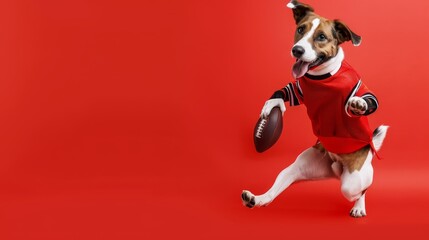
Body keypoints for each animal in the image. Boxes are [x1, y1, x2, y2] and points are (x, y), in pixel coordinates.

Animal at [241, 0, 388, 218]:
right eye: (301, 29)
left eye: (321, 37)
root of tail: (336, 168)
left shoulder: (357, 86)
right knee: (277, 185)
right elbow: (286, 92)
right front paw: (273, 102)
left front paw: (358, 105)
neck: (321, 77)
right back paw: (257, 199)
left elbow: (368, 99)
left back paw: (359, 206)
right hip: (299, 167)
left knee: (361, 189)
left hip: (354, 180)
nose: (297, 50)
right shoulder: (299, 89)